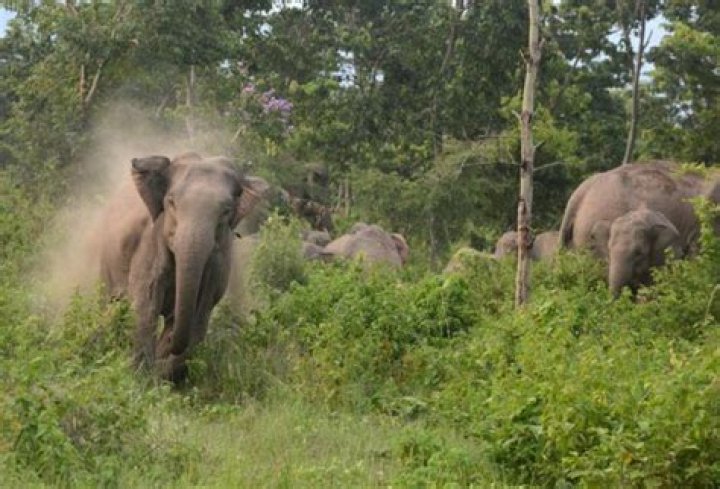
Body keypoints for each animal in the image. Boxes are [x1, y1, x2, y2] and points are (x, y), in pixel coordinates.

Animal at [99, 152, 261, 382]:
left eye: (226, 212)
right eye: (171, 202)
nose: (167, 344)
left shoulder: (218, 262)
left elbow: (200, 314)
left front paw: (161, 372)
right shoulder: (150, 244)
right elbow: (146, 305)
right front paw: (141, 378)